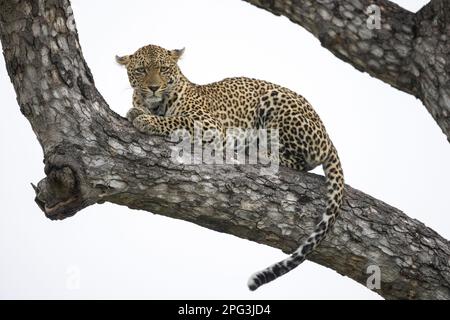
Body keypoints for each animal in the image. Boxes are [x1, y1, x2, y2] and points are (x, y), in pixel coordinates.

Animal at [116, 43, 344, 292]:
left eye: (163, 69)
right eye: (141, 70)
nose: (154, 87)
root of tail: (327, 136)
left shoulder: (209, 125)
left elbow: (175, 121)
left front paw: (146, 120)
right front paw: (138, 112)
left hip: (276, 105)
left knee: (296, 161)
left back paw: (254, 151)